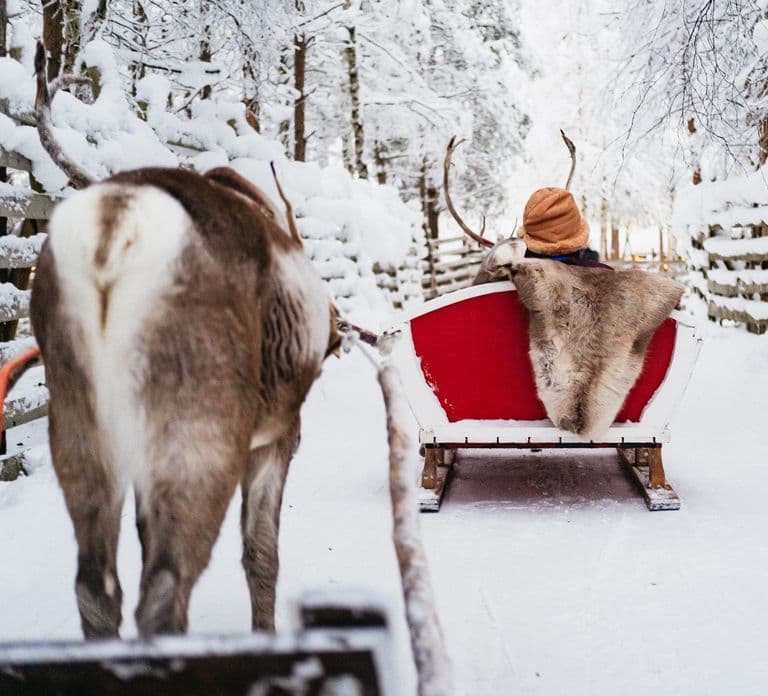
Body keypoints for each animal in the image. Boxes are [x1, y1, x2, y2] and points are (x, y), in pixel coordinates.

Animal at [28, 43, 340, 638]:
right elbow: (261, 553)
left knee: (95, 588)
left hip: (79, 418)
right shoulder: (279, 435)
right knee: (163, 590)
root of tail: (115, 222)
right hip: (200, 421)